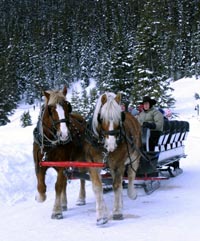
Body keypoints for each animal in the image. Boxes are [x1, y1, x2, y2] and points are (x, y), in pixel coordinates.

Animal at [33, 85, 86, 219]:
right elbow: (41, 185)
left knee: (82, 177)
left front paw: (56, 211)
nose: (64, 135)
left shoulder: (63, 164)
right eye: (50, 110)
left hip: (81, 159)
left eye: (68, 106)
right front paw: (40, 197)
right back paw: (64, 203)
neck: (50, 143)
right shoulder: (39, 163)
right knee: (65, 183)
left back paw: (81, 199)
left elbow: (58, 186)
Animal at [83, 91, 141, 225]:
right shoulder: (92, 164)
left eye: (119, 118)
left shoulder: (118, 164)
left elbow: (116, 186)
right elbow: (98, 187)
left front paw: (117, 212)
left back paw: (131, 194)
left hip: (134, 155)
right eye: (101, 118)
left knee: (131, 174)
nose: (111, 145)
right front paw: (101, 216)